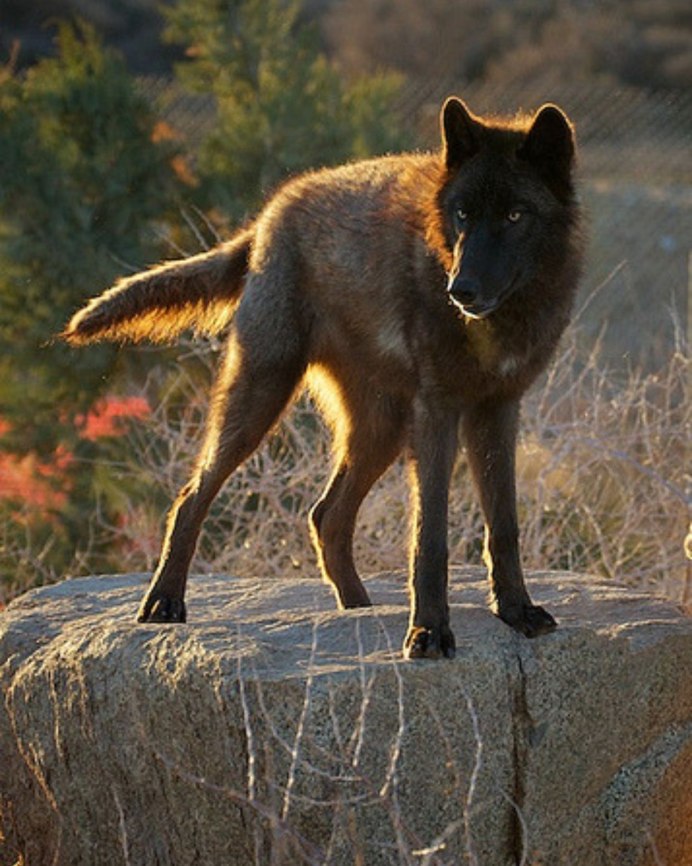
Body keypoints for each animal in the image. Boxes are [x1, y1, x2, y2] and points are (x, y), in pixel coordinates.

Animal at [63, 97, 583, 659]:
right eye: (463, 213)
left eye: (514, 215)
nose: (459, 289)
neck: (498, 322)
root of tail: (267, 219)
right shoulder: (439, 411)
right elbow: (430, 537)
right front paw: (428, 632)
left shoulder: (498, 409)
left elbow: (504, 525)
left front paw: (517, 612)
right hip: (263, 400)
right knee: (191, 497)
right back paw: (163, 604)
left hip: (380, 432)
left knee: (325, 515)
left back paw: (357, 609)